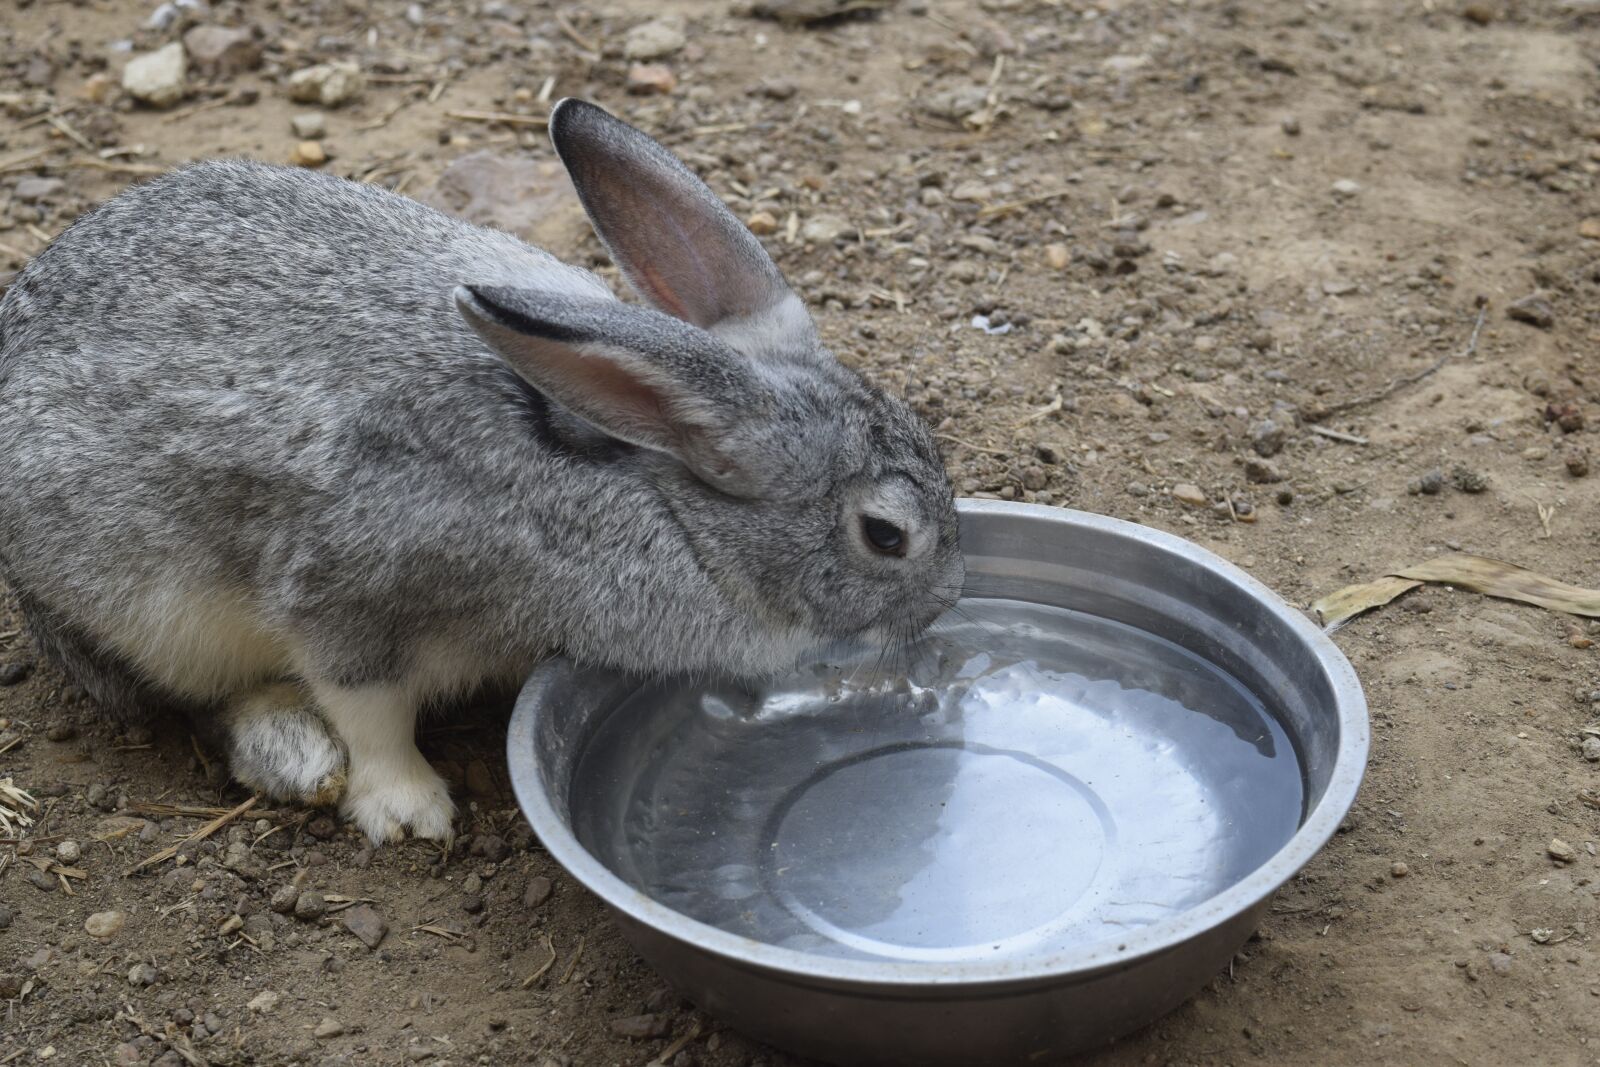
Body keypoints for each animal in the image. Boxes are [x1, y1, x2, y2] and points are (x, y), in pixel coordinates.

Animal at [0, 99, 964, 843]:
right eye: (885, 535)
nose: (950, 600)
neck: (660, 494)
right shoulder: (353, 593)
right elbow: (368, 707)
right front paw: (408, 809)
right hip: (148, 618)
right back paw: (294, 752)